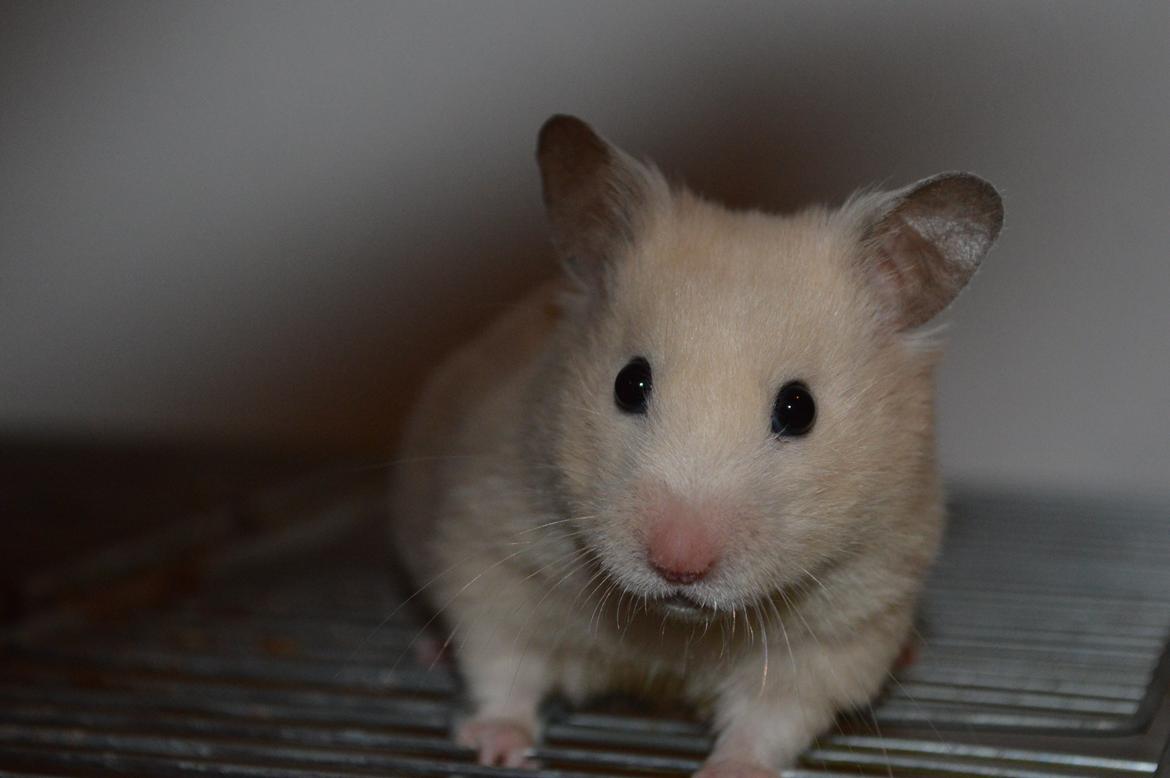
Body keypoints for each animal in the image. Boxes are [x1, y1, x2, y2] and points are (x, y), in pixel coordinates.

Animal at [390, 115, 1003, 776]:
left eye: (799, 408)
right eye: (628, 383)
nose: (678, 563)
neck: (677, 627)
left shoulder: (848, 621)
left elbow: (772, 718)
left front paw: (727, 770)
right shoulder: (492, 549)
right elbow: (503, 662)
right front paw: (497, 748)